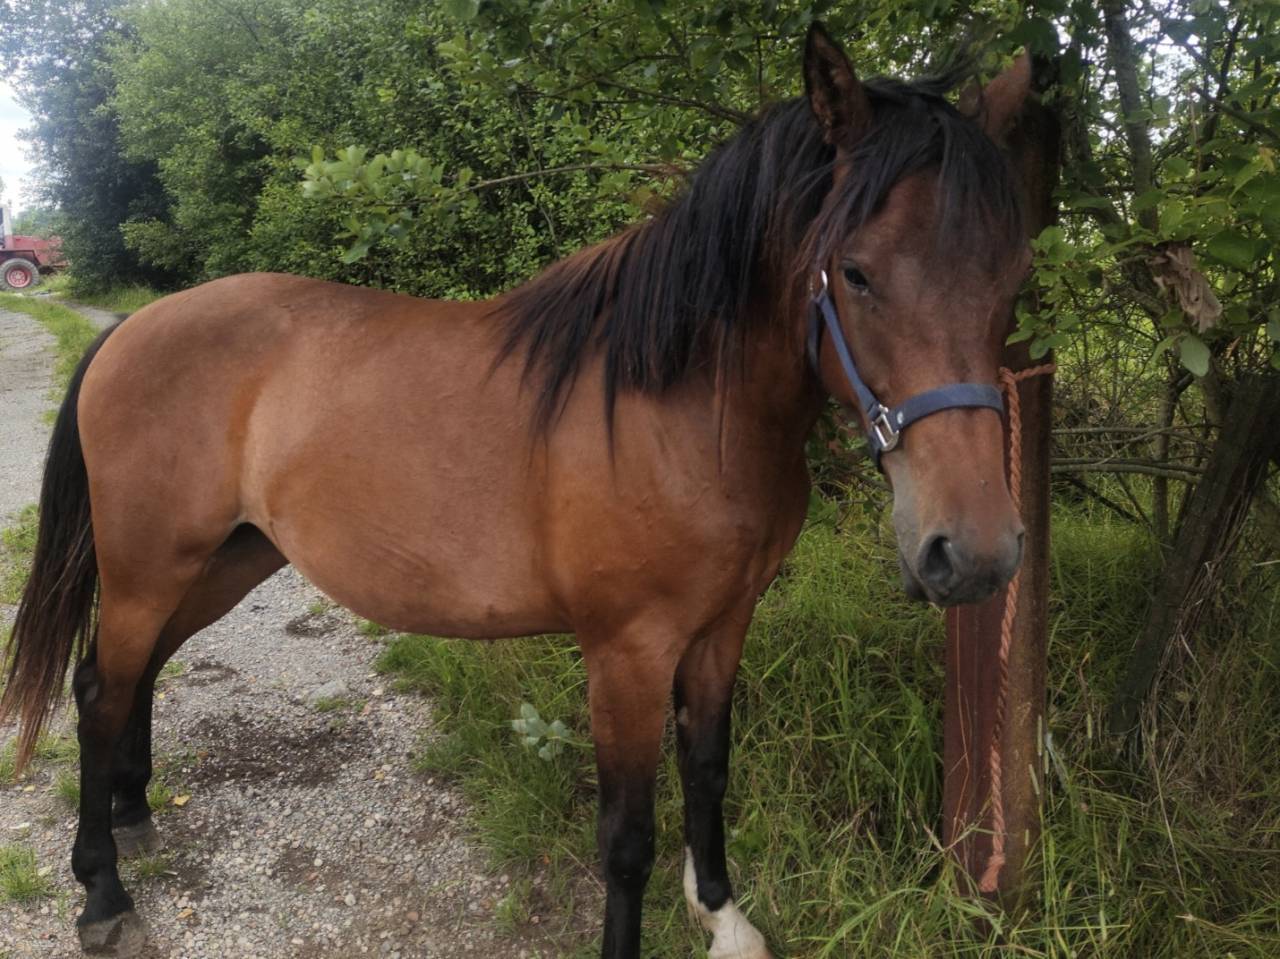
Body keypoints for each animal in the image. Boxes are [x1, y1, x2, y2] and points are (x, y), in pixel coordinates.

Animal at [0, 23, 1033, 959]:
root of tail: (131, 332)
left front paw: (724, 918)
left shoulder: (723, 624)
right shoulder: (627, 649)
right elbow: (626, 840)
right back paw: (102, 893)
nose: (975, 552)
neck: (678, 404)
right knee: (100, 687)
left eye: (1012, 276)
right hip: (150, 564)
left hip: (226, 558)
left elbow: (708, 769)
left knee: (132, 674)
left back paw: (135, 812)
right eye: (855, 272)